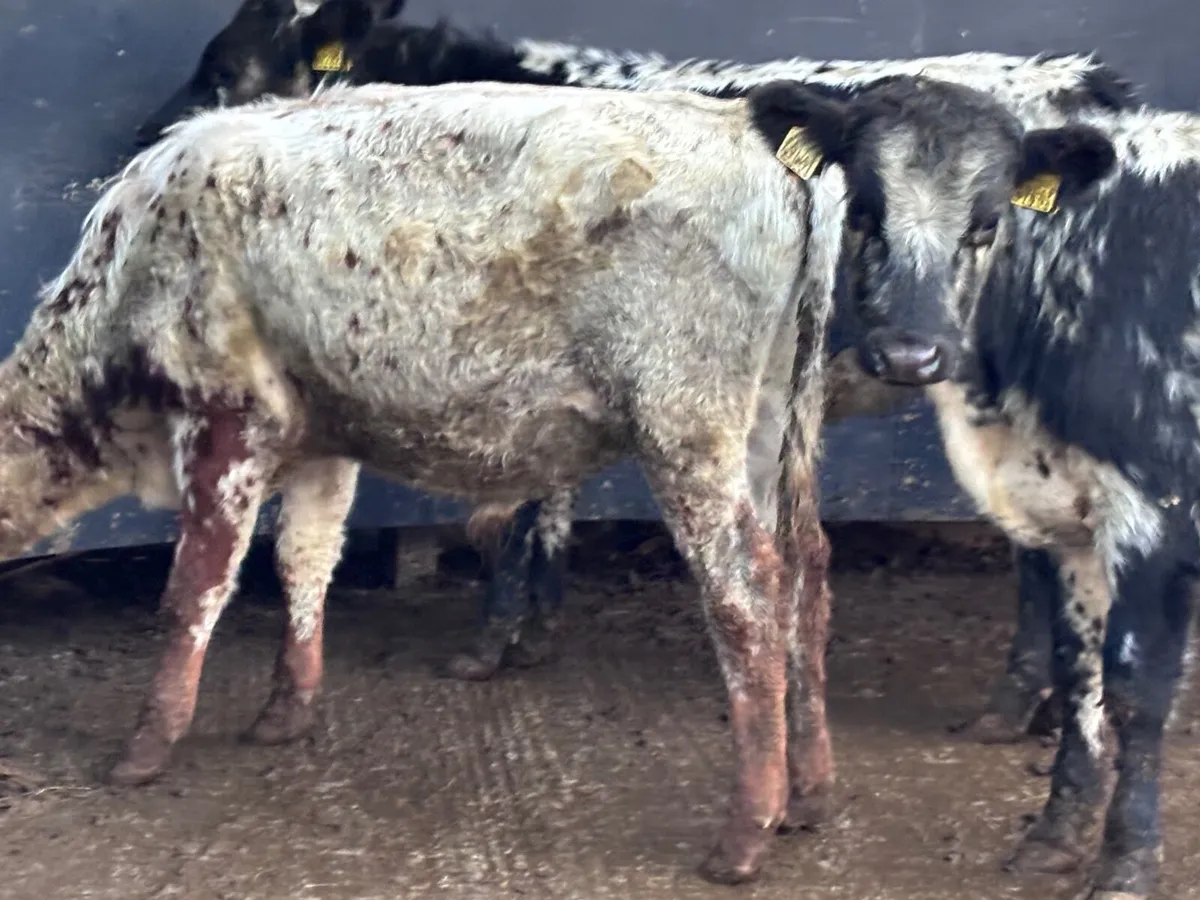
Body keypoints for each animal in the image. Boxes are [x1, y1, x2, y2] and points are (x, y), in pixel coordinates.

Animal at [3, 75, 1112, 882]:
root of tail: (769, 156)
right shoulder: (317, 429)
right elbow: (306, 561)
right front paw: (287, 709)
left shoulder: (230, 413)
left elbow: (195, 586)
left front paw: (147, 745)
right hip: (774, 429)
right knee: (804, 576)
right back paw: (808, 794)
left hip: (692, 430)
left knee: (747, 599)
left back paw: (745, 832)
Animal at [130, 0, 1150, 752]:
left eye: (224, 68)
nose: (148, 138)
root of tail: (1082, 83)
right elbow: (551, 498)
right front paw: (534, 627)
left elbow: (528, 505)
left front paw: (493, 639)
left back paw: (1017, 704)